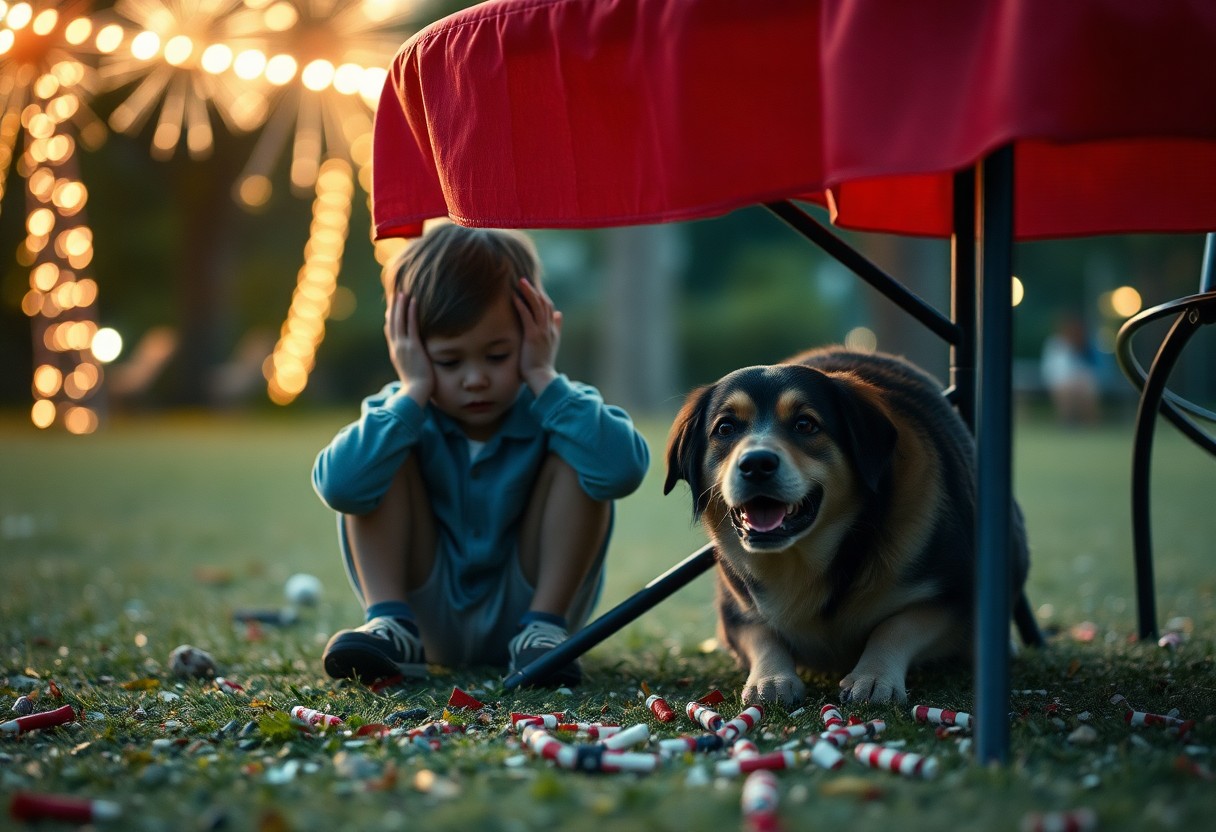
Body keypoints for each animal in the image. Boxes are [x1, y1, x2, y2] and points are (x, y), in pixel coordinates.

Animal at [666, 347, 1036, 705]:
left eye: (805, 424)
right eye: (725, 428)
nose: (756, 464)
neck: (807, 560)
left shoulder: (953, 601)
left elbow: (896, 625)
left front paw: (873, 676)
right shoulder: (734, 613)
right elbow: (762, 632)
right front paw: (771, 678)